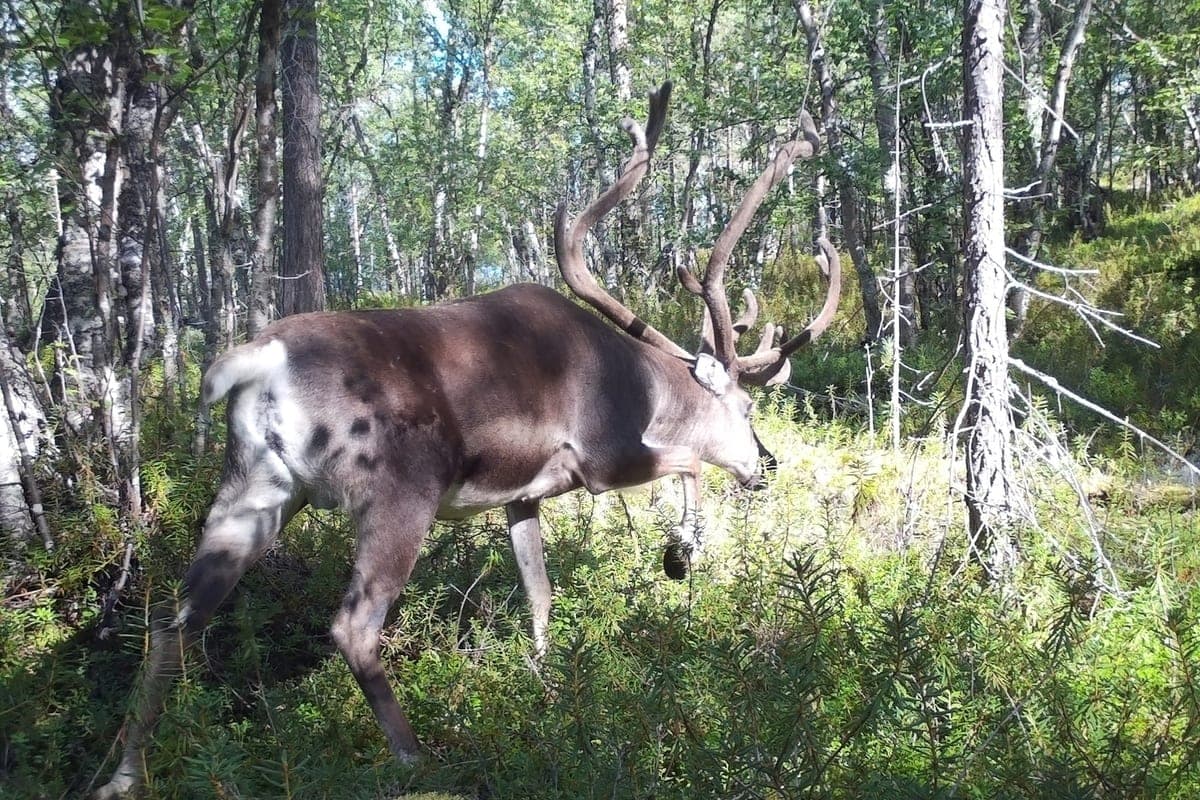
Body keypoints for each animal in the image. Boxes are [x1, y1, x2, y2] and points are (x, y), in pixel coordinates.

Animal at [94, 82, 839, 798]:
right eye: (746, 406)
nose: (767, 464)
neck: (642, 386)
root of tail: (258, 362)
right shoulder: (605, 455)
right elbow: (689, 464)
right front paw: (682, 552)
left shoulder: (523, 494)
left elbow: (539, 592)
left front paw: (545, 681)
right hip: (399, 493)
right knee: (351, 626)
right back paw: (419, 761)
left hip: (254, 492)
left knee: (174, 621)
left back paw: (124, 773)